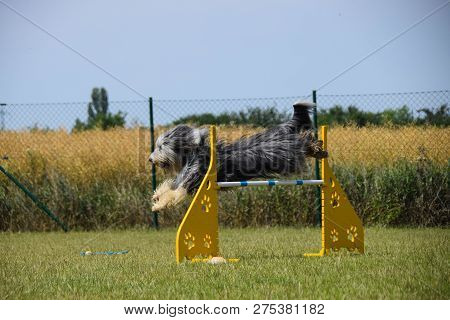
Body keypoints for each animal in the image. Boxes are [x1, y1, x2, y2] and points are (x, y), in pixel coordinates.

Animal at [150, 101, 326, 211]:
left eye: (161, 146)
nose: (150, 159)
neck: (192, 155)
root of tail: (282, 131)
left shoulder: (192, 181)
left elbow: (173, 194)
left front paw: (157, 206)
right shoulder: (183, 178)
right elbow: (169, 186)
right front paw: (156, 196)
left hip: (288, 157)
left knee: (306, 141)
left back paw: (317, 148)